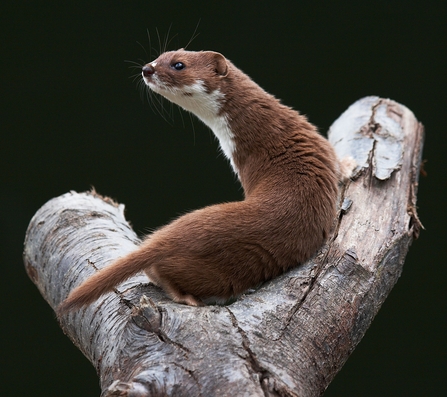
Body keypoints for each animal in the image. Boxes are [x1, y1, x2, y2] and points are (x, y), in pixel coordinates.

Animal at [58, 48, 340, 310]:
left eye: (178, 64)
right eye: (159, 56)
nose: (146, 69)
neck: (275, 134)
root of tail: (167, 238)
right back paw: (189, 298)